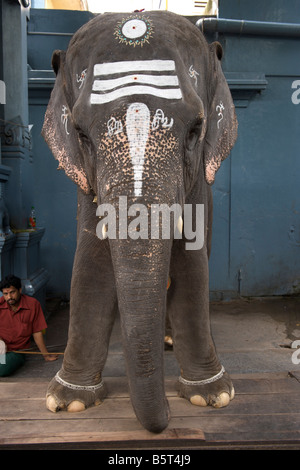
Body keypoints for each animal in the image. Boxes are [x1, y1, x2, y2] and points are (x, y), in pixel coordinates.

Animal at [42, 10, 238, 434]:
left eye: (196, 128)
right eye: (80, 133)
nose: (165, 422)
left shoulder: (198, 183)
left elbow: (191, 264)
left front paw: (211, 396)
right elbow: (90, 261)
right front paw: (67, 402)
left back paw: (171, 343)